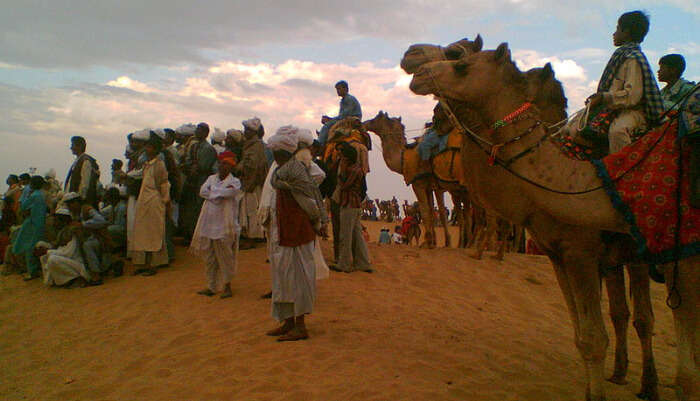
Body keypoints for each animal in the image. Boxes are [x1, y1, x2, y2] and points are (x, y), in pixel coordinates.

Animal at [404, 44, 696, 400]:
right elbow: (581, 334)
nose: (415, 66)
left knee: (644, 317)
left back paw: (648, 385)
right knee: (624, 313)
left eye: (459, 58)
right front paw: (591, 389)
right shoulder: (558, 255)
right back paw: (621, 373)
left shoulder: (582, 252)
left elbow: (595, 338)